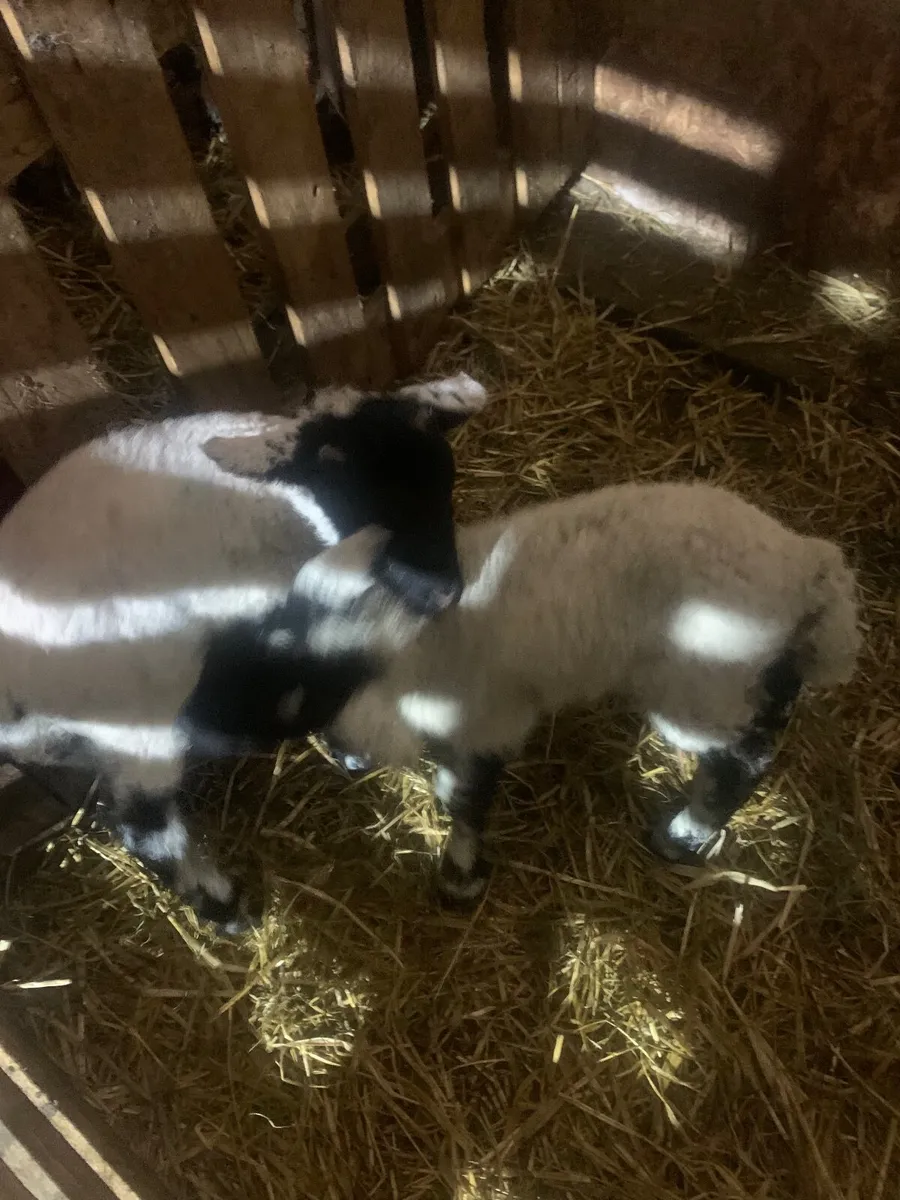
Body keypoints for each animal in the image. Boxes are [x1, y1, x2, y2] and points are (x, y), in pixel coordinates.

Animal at [0, 373, 490, 928]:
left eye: (444, 484)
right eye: (358, 494)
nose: (443, 592)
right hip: (134, 719)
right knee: (143, 826)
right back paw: (227, 907)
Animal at [180, 480, 861, 903]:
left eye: (275, 693)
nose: (189, 732)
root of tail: (807, 564)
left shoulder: (489, 719)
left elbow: (465, 796)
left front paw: (460, 878)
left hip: (700, 683)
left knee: (746, 755)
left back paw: (683, 835)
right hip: (747, 669)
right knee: (773, 708)